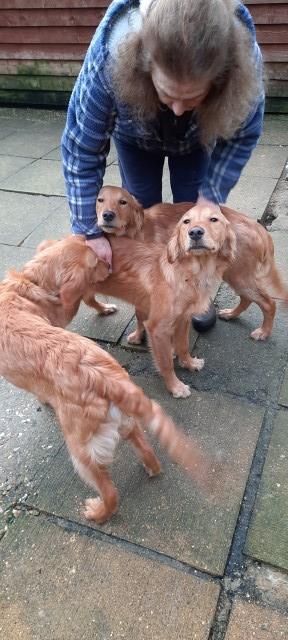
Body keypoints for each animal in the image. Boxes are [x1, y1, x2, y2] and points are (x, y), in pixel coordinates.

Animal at [0, 238, 212, 524]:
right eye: (96, 261)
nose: (109, 268)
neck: (30, 283)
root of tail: (105, 378)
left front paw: (43, 400)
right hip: (126, 423)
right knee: (148, 452)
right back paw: (151, 468)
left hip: (82, 453)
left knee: (110, 493)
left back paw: (98, 512)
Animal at [84, 208, 235, 398]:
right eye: (186, 222)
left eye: (214, 219)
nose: (195, 232)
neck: (188, 274)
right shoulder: (158, 329)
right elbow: (166, 363)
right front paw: (175, 386)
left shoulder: (183, 319)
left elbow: (183, 346)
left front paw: (189, 363)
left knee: (89, 299)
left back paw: (105, 309)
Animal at [97, 185, 288, 340]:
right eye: (100, 200)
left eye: (123, 202)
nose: (107, 215)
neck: (134, 232)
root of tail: (258, 228)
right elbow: (140, 316)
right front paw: (139, 336)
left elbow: (141, 315)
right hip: (235, 275)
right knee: (247, 298)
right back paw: (231, 314)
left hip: (239, 276)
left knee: (268, 303)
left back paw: (264, 332)